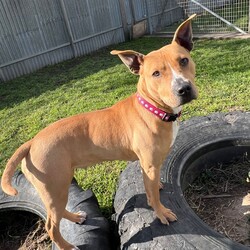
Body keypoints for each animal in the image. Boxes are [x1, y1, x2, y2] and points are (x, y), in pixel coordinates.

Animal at [1, 15, 197, 248]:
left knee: (57, 214)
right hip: (55, 188)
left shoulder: (149, 166)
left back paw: (76, 217)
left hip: (57, 189)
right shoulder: (149, 165)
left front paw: (156, 187)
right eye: (156, 73)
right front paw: (161, 213)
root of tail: (32, 142)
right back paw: (68, 245)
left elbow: (151, 187)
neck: (152, 107)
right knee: (51, 226)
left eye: (183, 61)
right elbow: (153, 197)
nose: (184, 89)